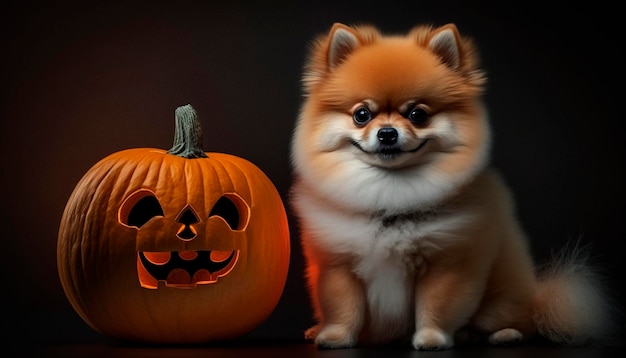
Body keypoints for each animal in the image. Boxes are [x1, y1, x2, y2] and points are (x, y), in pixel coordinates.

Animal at [290, 21, 612, 350]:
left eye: (418, 114)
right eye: (361, 115)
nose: (387, 133)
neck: (389, 194)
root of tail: (535, 297)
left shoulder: (446, 262)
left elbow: (436, 305)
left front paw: (432, 338)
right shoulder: (338, 264)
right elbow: (343, 308)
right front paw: (335, 336)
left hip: (500, 301)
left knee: (520, 322)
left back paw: (503, 334)